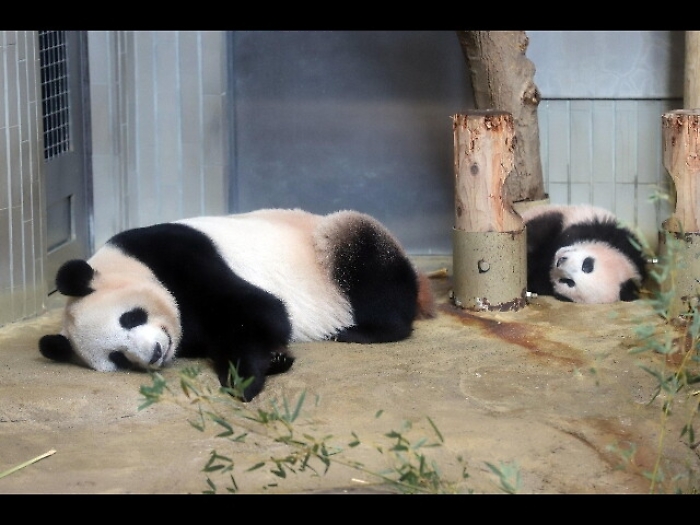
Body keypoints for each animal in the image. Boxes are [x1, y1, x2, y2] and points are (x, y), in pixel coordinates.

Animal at [38, 208, 436, 401]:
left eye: (129, 318)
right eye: (118, 357)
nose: (154, 354)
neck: (126, 262)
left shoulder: (179, 254)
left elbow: (259, 310)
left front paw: (242, 381)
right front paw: (274, 361)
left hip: (333, 244)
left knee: (363, 256)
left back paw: (361, 331)